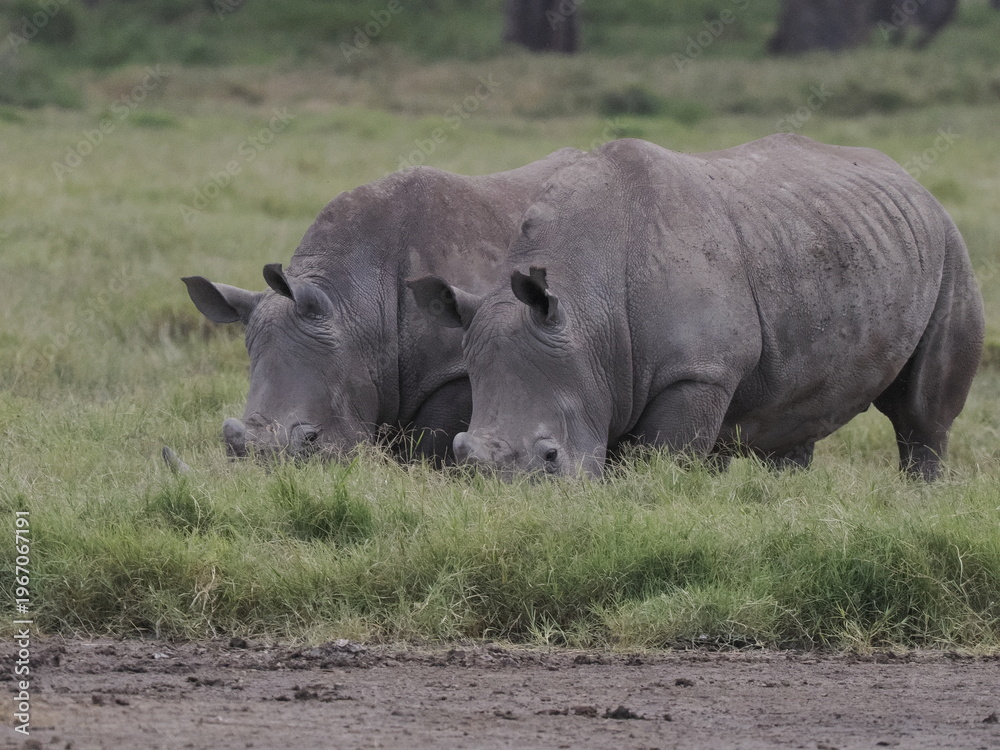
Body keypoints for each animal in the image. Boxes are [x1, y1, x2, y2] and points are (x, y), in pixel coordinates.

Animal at [410, 135, 984, 480]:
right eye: (457, 452)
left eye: (551, 457)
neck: (587, 312)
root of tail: (913, 181)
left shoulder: (699, 372)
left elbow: (663, 458)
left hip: (950, 249)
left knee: (921, 416)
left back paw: (920, 498)